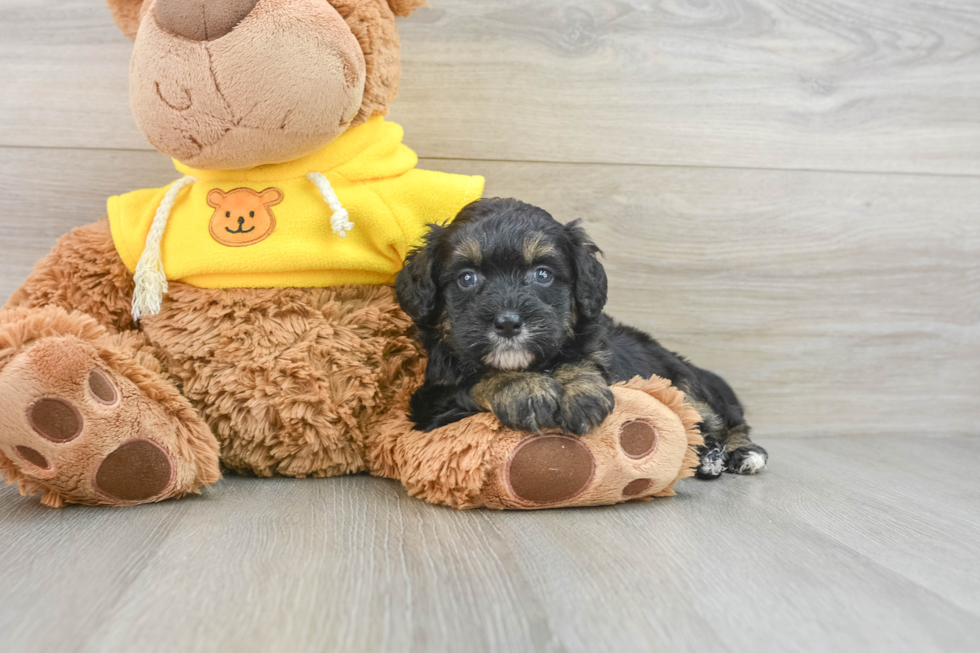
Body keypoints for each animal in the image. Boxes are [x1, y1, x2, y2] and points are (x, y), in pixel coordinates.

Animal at [394, 196, 768, 476]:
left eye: (543, 274)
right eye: (467, 279)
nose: (508, 323)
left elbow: (582, 358)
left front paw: (580, 392)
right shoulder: (431, 403)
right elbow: (476, 381)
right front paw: (523, 388)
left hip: (683, 382)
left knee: (725, 420)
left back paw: (740, 454)